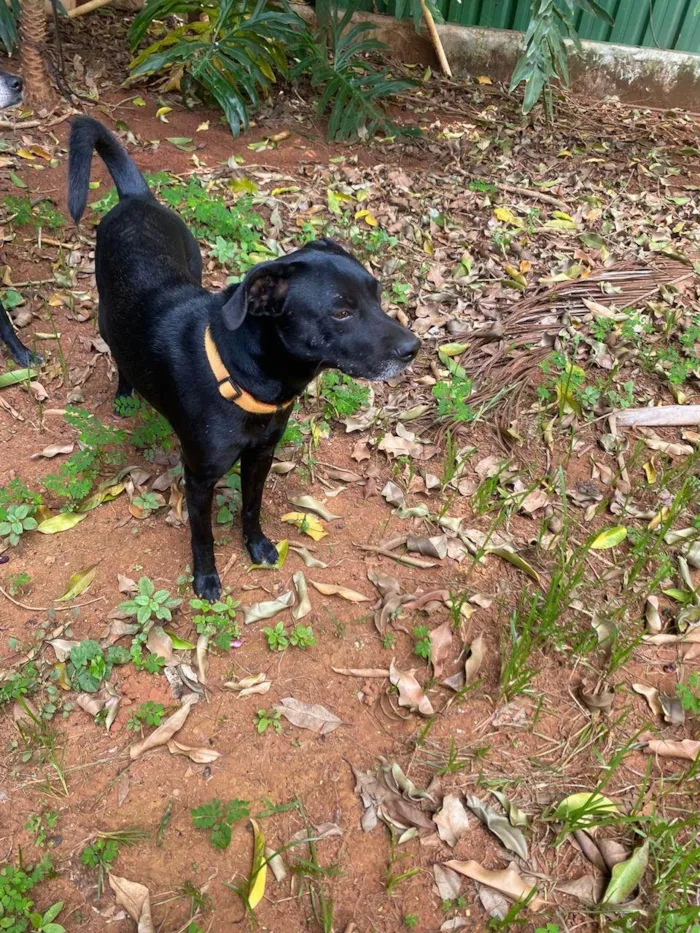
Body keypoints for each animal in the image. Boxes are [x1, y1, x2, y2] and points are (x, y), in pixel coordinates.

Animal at [68, 118, 418, 596]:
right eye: (341, 311)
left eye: (378, 295)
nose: (413, 349)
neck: (244, 378)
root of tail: (136, 198)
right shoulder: (199, 476)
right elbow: (202, 533)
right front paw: (205, 578)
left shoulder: (261, 457)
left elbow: (252, 507)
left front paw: (257, 546)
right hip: (107, 313)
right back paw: (124, 393)